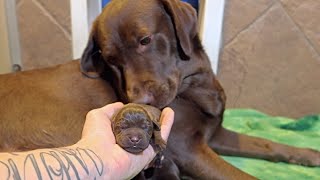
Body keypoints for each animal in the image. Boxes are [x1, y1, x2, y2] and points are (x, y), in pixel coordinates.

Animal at [0, 0, 318, 179]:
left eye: (145, 40)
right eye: (110, 59)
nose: (137, 101)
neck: (194, 84)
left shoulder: (214, 134)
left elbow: (267, 145)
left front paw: (308, 154)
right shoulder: (190, 150)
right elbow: (241, 176)